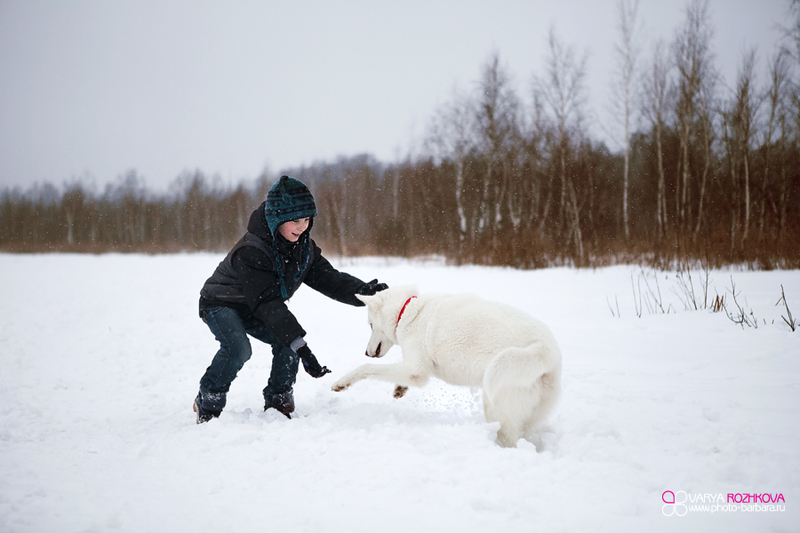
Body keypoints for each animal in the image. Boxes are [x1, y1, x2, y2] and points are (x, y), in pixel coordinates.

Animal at [332, 285, 562, 447]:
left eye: (370, 325)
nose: (366, 351)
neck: (408, 312)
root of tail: (546, 350)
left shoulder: (417, 369)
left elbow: (366, 368)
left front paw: (342, 383)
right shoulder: (413, 369)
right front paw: (400, 388)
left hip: (496, 406)